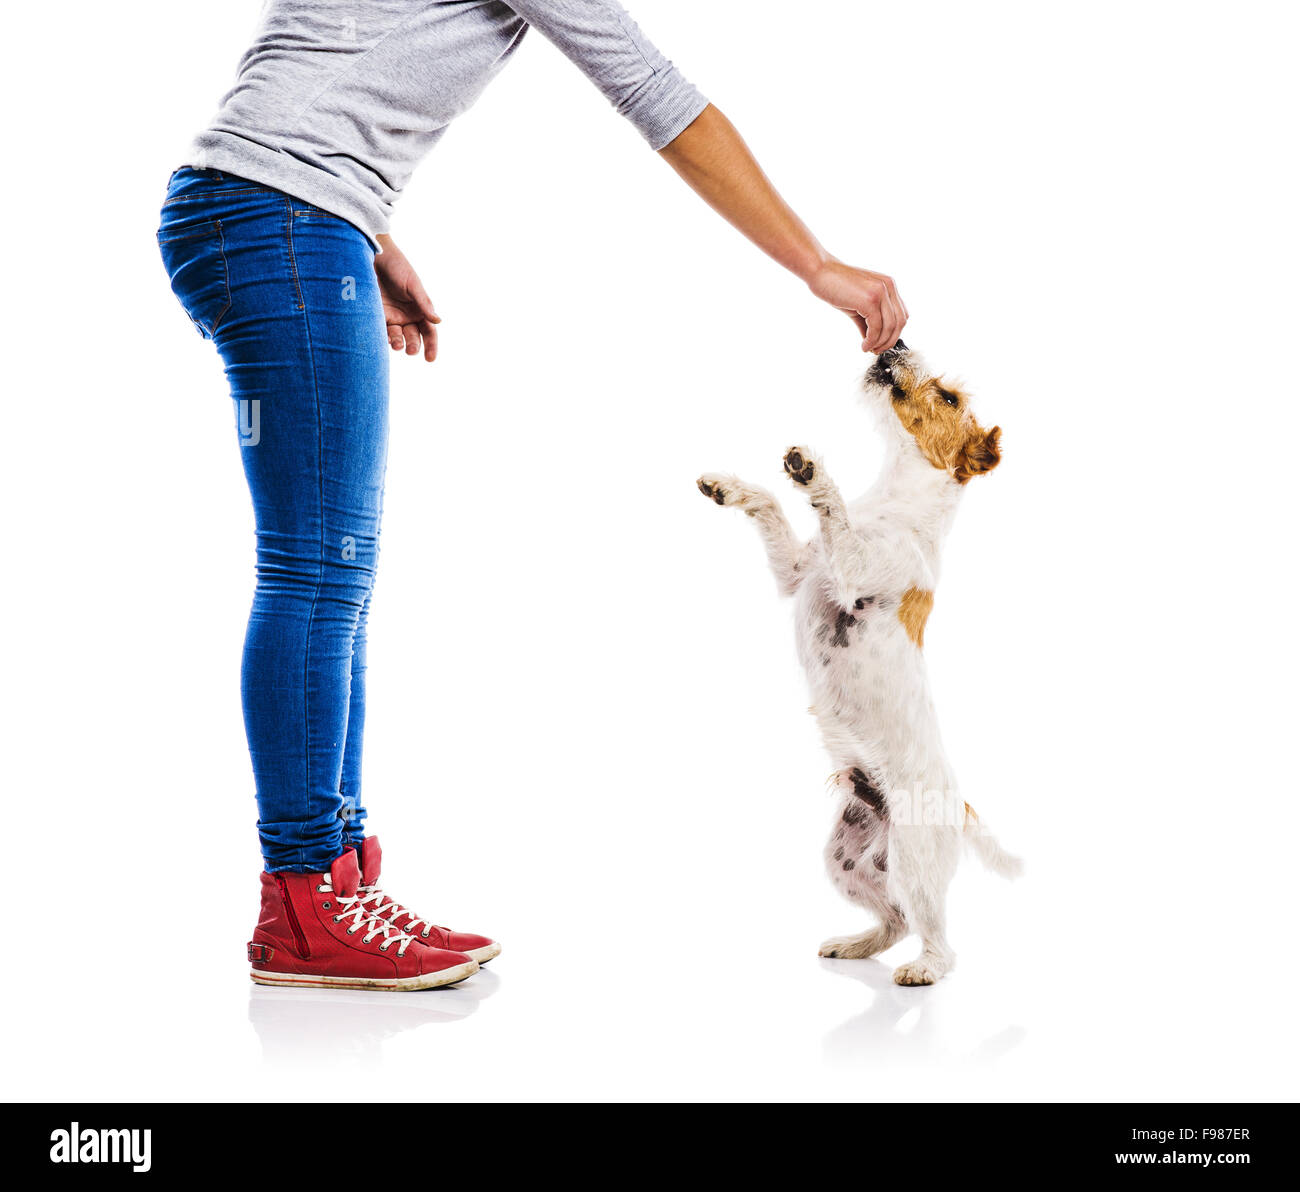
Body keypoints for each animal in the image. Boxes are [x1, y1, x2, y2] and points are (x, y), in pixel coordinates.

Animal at [696, 340, 1019, 982]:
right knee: (893, 919)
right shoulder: (797, 571)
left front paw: (814, 473)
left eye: (950, 398)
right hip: (846, 857)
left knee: (935, 935)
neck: (896, 502)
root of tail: (959, 803)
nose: (896, 343)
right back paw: (855, 945)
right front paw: (729, 487)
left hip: (914, 858)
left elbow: (836, 515)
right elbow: (773, 507)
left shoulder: (852, 572)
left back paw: (923, 969)